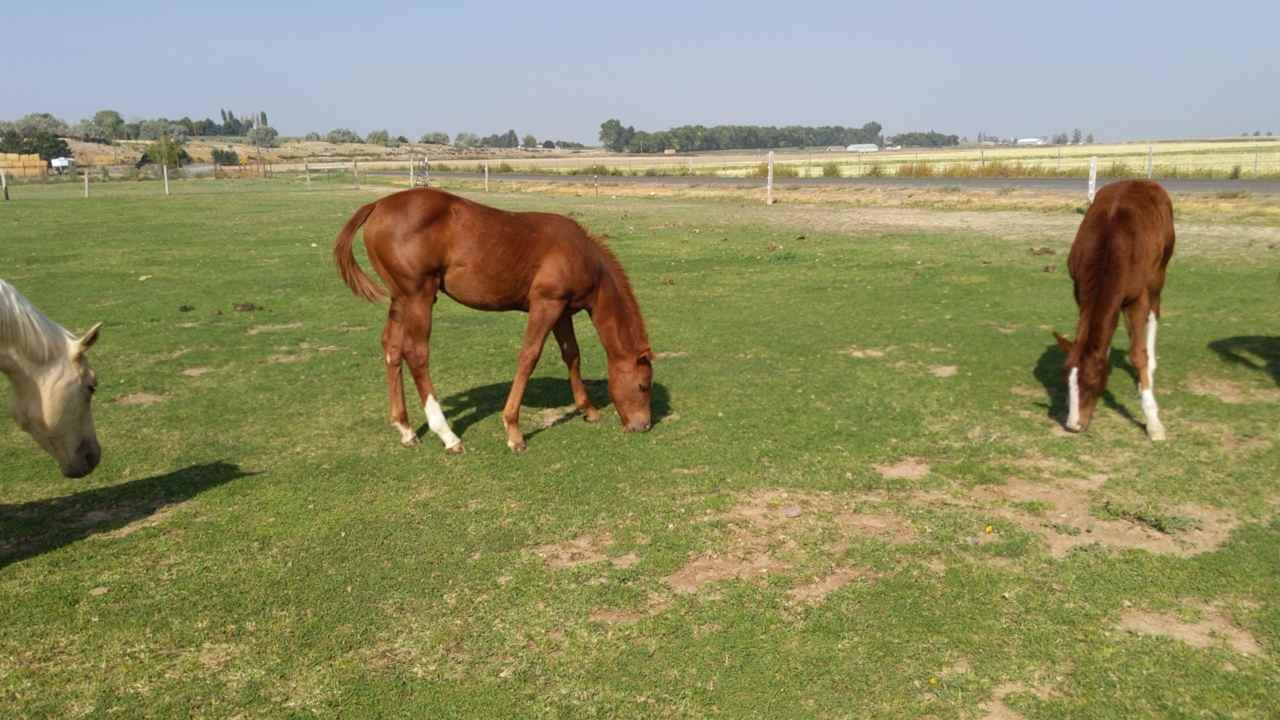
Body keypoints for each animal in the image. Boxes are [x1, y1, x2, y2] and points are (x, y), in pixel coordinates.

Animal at [332, 188, 650, 450]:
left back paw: (406, 429)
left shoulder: (562, 311)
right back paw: (447, 435)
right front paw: (513, 430)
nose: (643, 425)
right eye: (643, 386)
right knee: (416, 353)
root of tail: (378, 205)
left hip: (400, 299)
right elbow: (529, 357)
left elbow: (572, 355)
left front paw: (589, 410)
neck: (581, 254)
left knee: (392, 348)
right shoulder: (546, 305)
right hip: (418, 296)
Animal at [1054, 179, 1172, 438]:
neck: (1109, 244)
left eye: (1091, 383)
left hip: (1159, 272)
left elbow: (1138, 354)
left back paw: (1150, 367)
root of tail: (1145, 182)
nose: (1074, 425)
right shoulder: (1079, 291)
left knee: (1154, 312)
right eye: (1066, 379)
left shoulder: (1137, 298)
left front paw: (1153, 421)